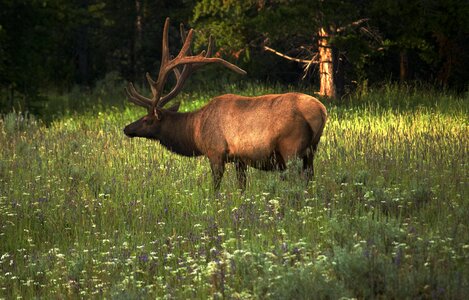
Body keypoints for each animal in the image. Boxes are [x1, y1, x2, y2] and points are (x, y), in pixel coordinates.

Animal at [122, 18, 328, 191]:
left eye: (147, 119)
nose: (126, 128)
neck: (195, 131)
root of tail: (321, 111)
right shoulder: (240, 159)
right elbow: (241, 186)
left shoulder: (215, 152)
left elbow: (216, 187)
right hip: (311, 151)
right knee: (310, 179)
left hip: (291, 148)